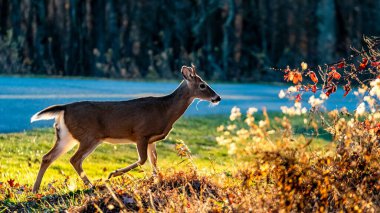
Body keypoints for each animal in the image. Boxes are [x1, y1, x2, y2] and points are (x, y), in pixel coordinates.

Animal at [31, 65, 221, 193]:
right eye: (203, 85)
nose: (217, 97)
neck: (165, 110)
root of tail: (64, 108)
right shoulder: (141, 133)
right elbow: (142, 160)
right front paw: (113, 174)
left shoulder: (152, 139)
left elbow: (154, 162)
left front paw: (158, 183)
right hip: (89, 136)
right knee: (74, 159)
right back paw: (92, 185)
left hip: (67, 136)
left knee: (48, 157)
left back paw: (35, 189)